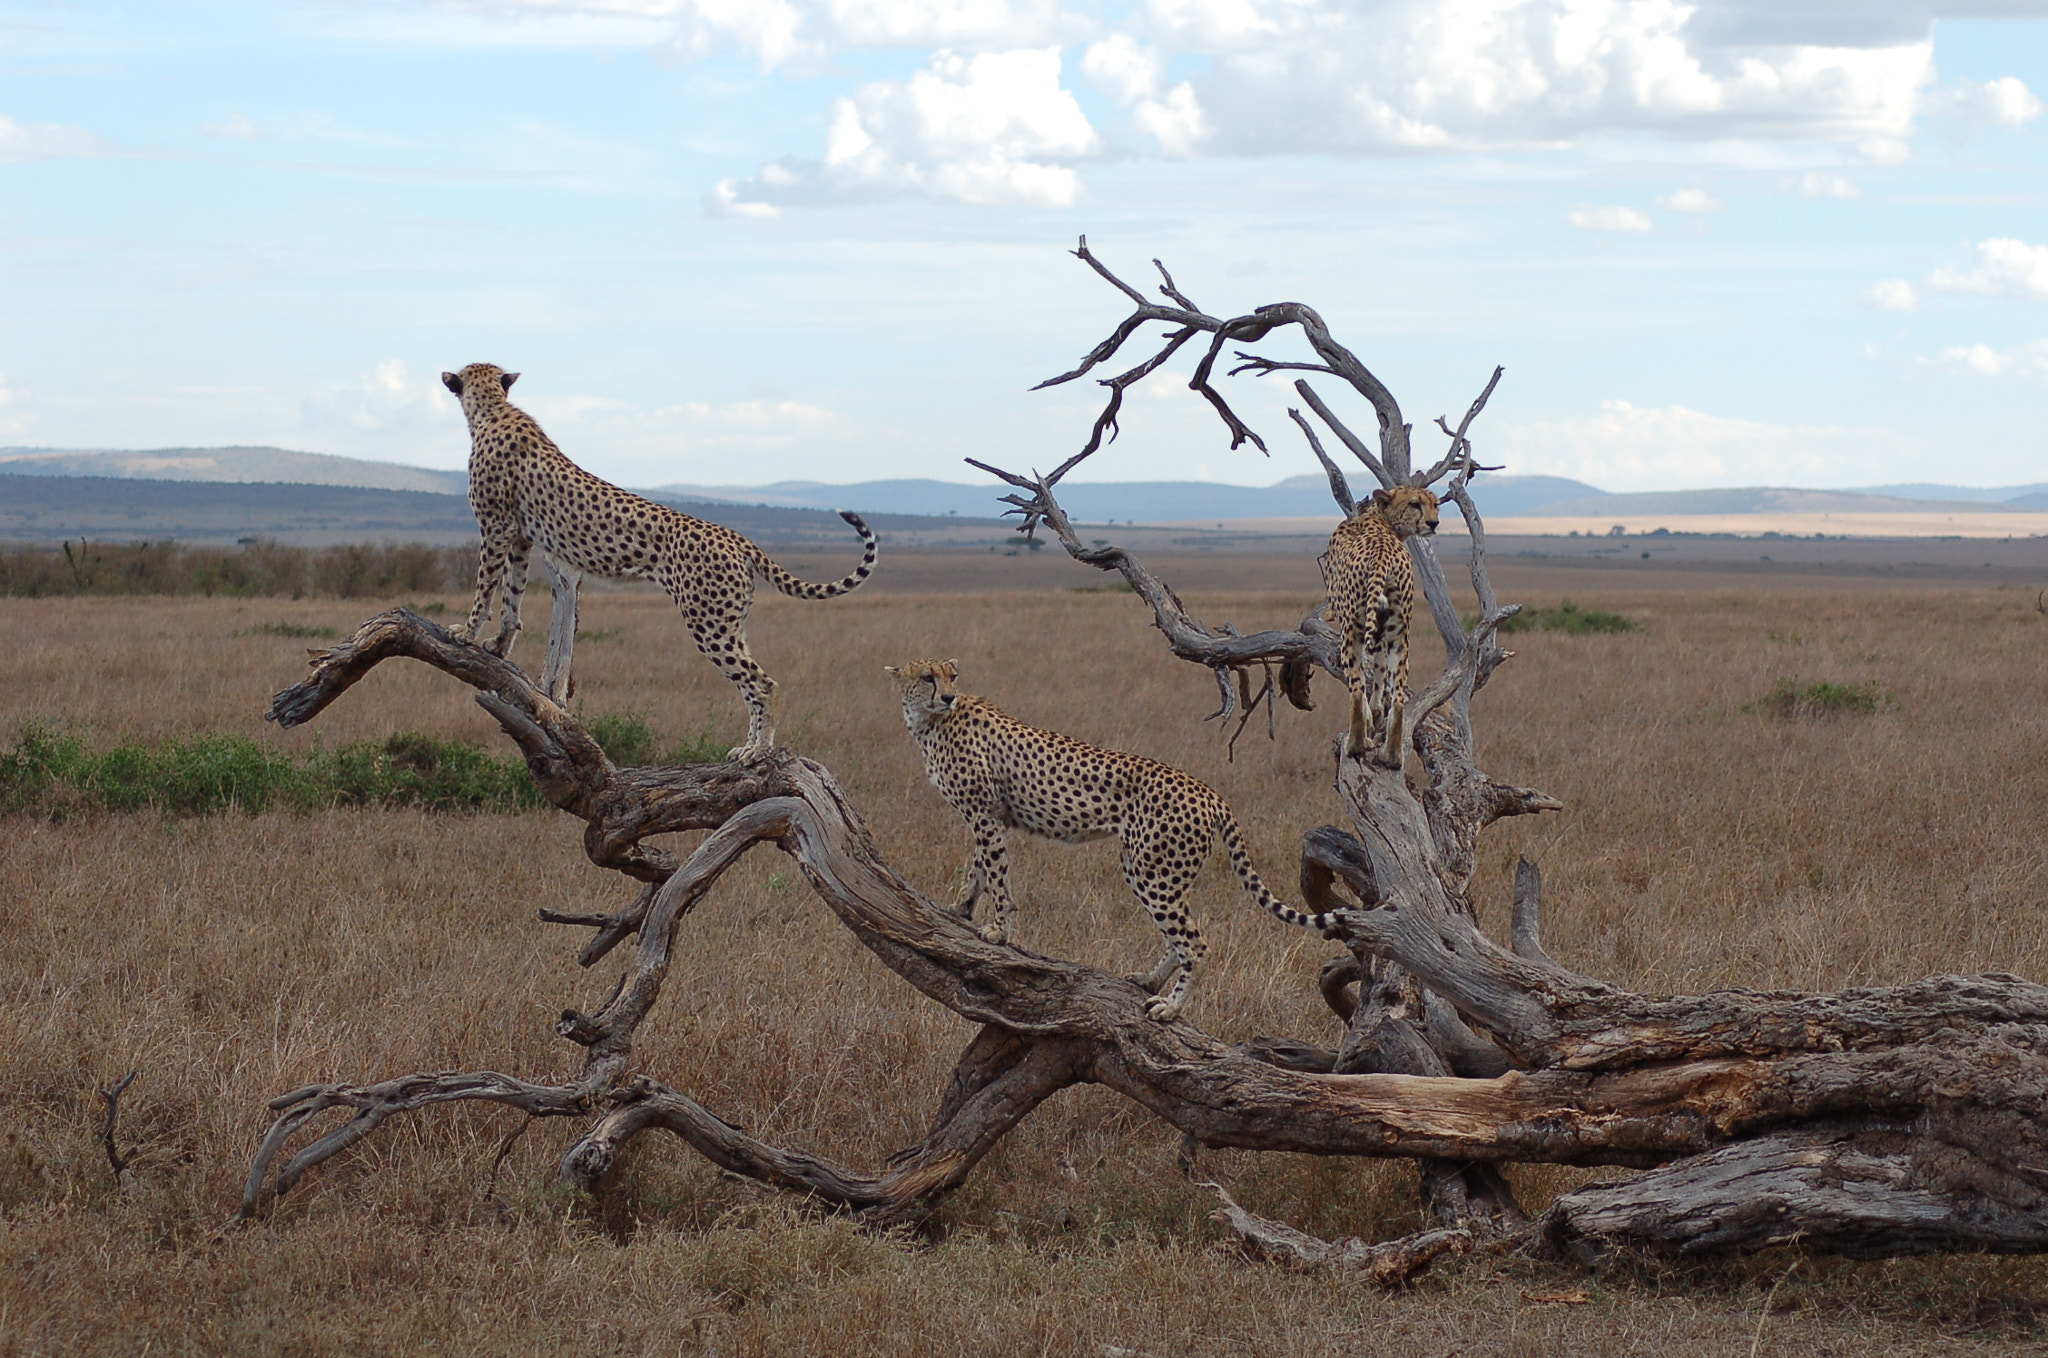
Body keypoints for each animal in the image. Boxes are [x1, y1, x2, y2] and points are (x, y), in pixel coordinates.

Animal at [444, 360, 876, 766]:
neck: (491, 409)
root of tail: (735, 537)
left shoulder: (496, 527)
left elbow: (485, 587)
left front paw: (465, 632)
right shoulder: (520, 536)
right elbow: (512, 596)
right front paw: (499, 644)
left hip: (709, 622)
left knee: (761, 683)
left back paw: (758, 751)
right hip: (731, 622)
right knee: (753, 681)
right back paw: (748, 747)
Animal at [884, 659, 1343, 1020]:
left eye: (951, 676)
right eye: (927, 677)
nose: (947, 697)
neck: (929, 723)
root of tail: (1207, 791)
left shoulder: (984, 812)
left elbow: (997, 876)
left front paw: (998, 930)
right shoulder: (992, 815)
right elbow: (981, 868)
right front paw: (961, 908)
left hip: (1155, 871)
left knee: (1195, 942)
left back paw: (1170, 1007)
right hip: (1152, 869)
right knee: (1181, 932)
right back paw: (1150, 981)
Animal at [1318, 485, 1433, 766]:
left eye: (1434, 504)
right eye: (1415, 504)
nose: (1433, 522)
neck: (1381, 519)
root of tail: (1382, 553)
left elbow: (1363, 679)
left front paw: (1370, 722)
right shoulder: (1384, 633)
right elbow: (1380, 676)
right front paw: (1378, 713)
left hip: (1351, 631)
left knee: (1356, 691)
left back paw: (1356, 744)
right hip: (1400, 636)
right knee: (1399, 699)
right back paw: (1392, 755)